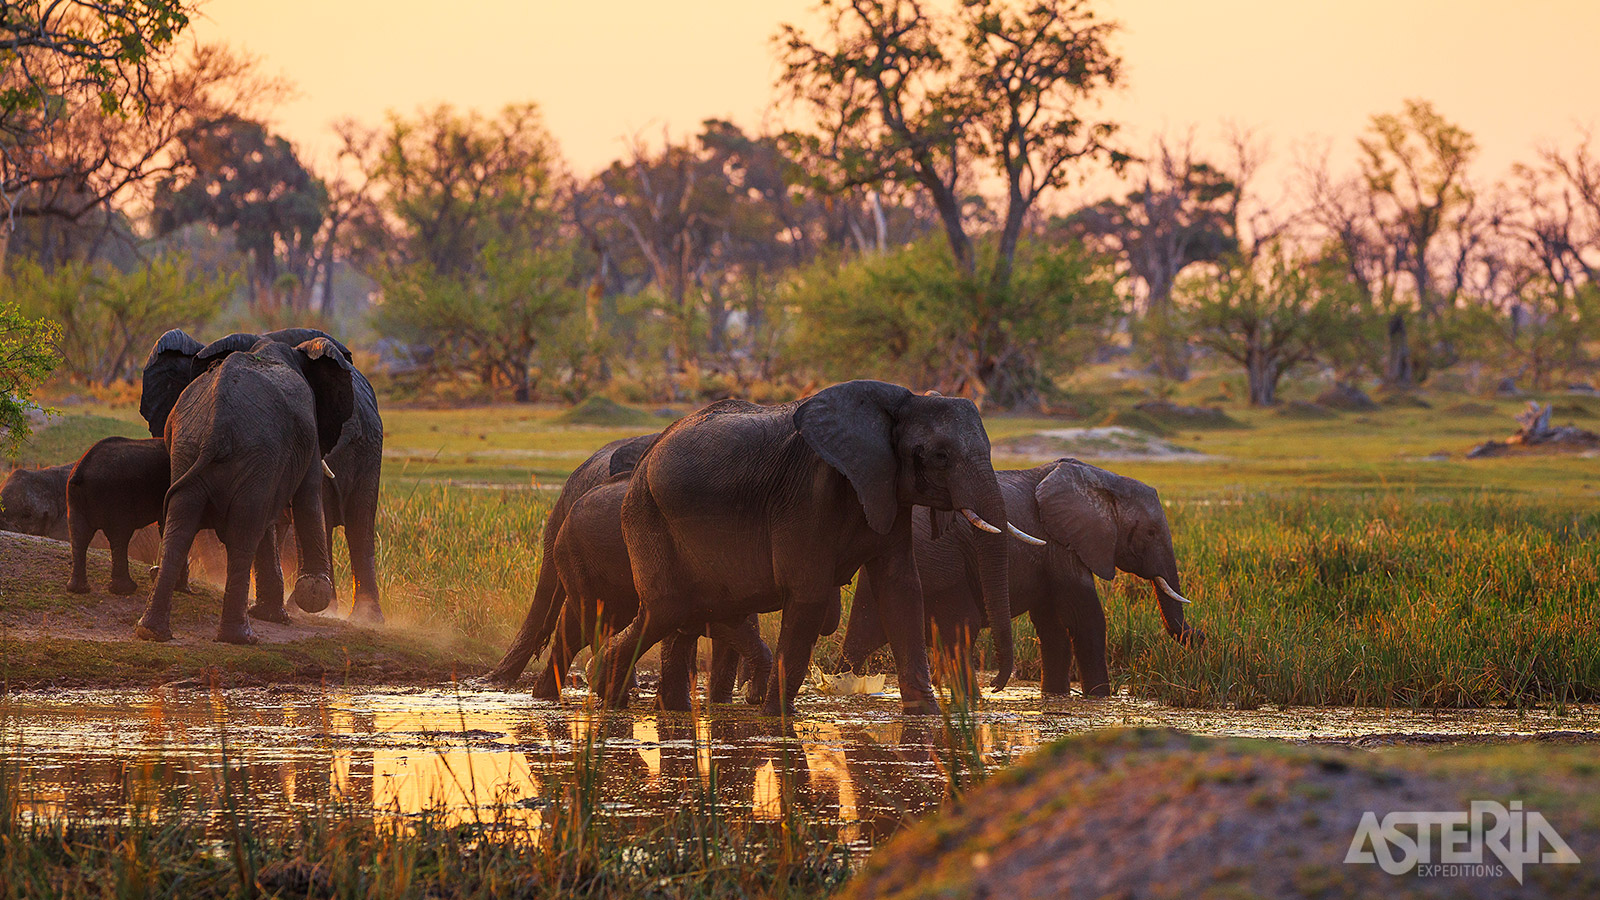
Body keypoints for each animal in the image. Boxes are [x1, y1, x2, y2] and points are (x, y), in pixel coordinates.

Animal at [595, 379, 1030, 714]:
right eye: (939, 455)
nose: (996, 687)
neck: (899, 403)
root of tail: (648, 453)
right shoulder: (809, 493)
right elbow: (810, 596)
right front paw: (777, 717)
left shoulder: (885, 489)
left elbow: (902, 589)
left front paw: (925, 713)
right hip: (646, 514)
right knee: (667, 608)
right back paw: (607, 693)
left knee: (686, 615)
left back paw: (662, 707)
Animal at [838, 454, 1203, 695]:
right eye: (1151, 533)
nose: (1201, 635)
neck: (1104, 480)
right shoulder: (1062, 545)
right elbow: (1084, 618)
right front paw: (1099, 698)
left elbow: (1052, 626)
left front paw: (1055, 696)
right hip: (940, 556)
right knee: (960, 630)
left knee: (861, 635)